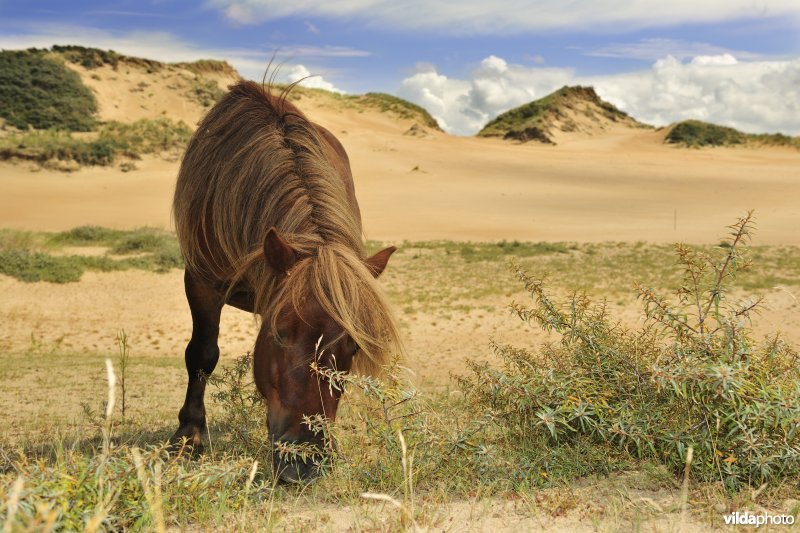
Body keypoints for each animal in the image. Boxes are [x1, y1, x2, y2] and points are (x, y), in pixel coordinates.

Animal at [171, 80, 402, 482]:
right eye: (279, 333)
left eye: (353, 348)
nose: (304, 463)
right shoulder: (201, 282)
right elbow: (201, 354)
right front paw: (190, 434)